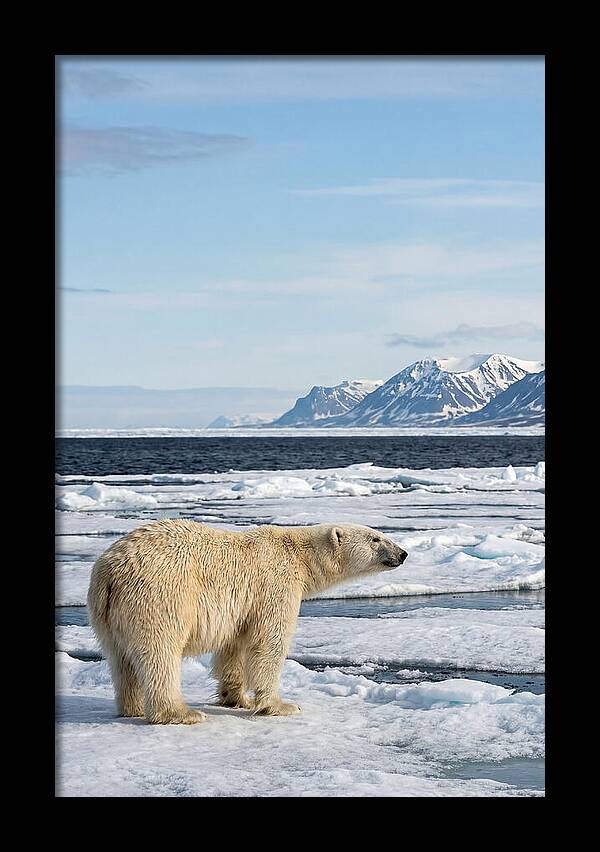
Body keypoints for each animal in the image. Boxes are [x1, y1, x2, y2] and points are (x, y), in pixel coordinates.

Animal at [87, 520, 407, 725]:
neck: (299, 555)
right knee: (160, 653)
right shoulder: (275, 584)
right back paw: (181, 713)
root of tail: (109, 572)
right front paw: (281, 705)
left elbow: (234, 647)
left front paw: (237, 698)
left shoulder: (243, 607)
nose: (403, 553)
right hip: (160, 596)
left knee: (120, 659)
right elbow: (269, 642)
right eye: (376, 538)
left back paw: (132, 708)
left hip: (106, 614)